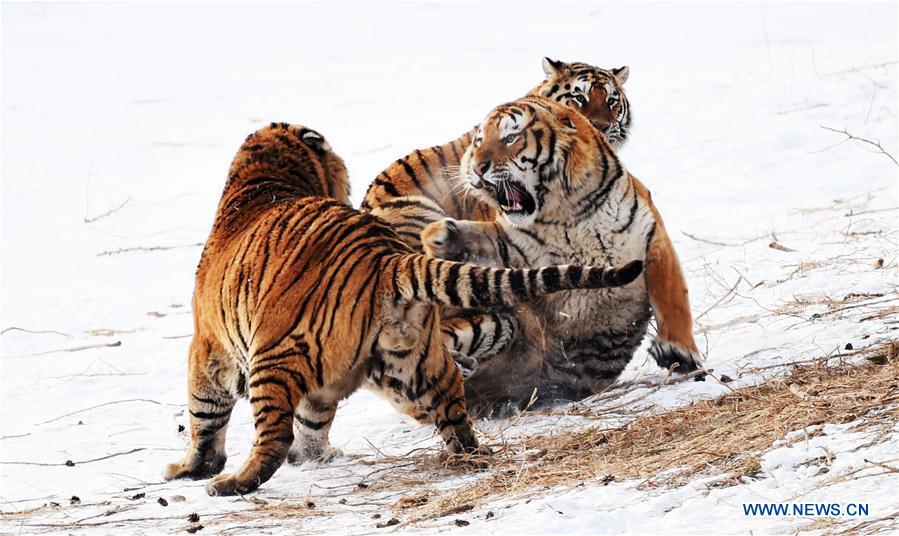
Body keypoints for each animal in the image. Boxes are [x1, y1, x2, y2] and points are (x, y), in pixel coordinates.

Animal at [162, 122, 646, 496]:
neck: (262, 180)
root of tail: (387, 258)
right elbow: (315, 417)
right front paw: (316, 456)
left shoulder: (209, 348)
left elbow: (204, 415)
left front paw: (192, 469)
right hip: (415, 359)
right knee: (452, 405)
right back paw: (470, 455)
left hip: (274, 357)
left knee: (272, 437)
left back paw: (231, 484)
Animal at [419, 95, 701, 413]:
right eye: (479, 141)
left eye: (510, 137)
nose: (477, 167)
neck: (566, 213)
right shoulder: (515, 251)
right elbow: (486, 242)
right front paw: (440, 236)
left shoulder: (649, 236)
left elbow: (672, 299)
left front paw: (678, 351)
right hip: (490, 324)